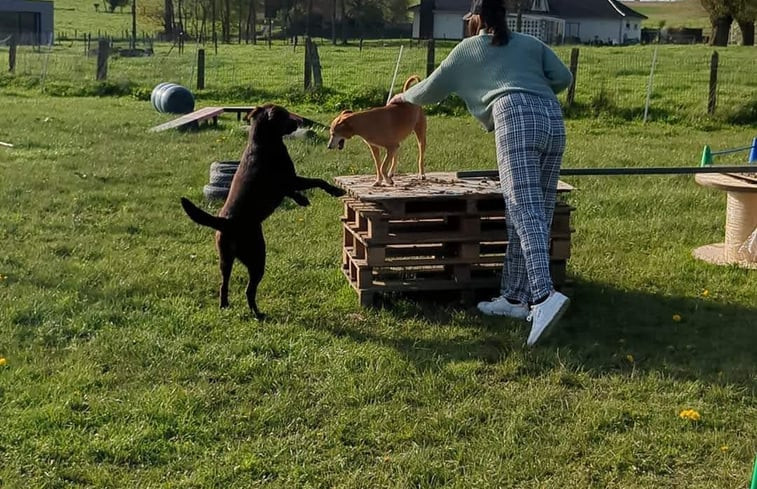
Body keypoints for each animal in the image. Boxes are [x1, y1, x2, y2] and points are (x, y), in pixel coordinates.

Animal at [179, 103, 344, 318]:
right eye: (285, 116)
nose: (297, 122)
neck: (263, 141)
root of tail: (225, 222)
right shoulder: (288, 180)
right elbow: (316, 181)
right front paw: (330, 192)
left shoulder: (287, 183)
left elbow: (298, 189)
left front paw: (303, 198)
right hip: (257, 258)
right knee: (249, 290)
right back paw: (258, 314)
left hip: (226, 259)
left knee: (224, 284)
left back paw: (225, 305)